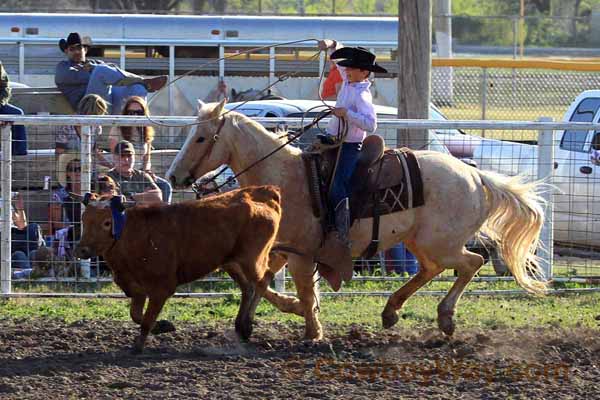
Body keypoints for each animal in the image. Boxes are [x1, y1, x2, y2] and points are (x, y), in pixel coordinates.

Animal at [73, 186, 284, 352]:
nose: (81, 250)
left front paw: (138, 345)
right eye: (83, 218)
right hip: (231, 262)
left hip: (252, 259)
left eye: (107, 222)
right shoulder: (137, 288)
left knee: (263, 279)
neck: (135, 235)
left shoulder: (162, 287)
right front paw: (163, 326)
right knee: (247, 287)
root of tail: (263, 192)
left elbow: (147, 319)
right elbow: (136, 315)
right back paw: (240, 327)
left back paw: (247, 325)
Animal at [165, 100, 548, 340]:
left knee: (471, 263)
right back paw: (392, 311)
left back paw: (444, 316)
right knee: (432, 269)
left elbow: (301, 289)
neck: (284, 177)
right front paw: (247, 323)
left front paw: (312, 329)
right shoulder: (279, 250)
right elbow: (257, 281)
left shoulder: (300, 255)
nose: (174, 176)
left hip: (441, 243)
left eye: (201, 137)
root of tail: (476, 176)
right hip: (420, 241)